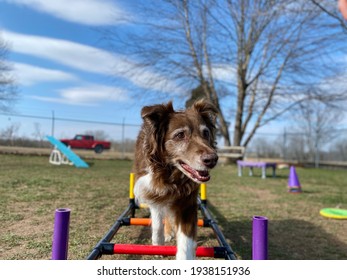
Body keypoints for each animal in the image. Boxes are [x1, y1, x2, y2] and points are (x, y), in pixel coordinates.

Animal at [133, 99, 218, 260]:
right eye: (180, 135)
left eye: (206, 133)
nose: (212, 160)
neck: (170, 173)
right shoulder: (153, 190)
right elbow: (157, 221)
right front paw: (158, 243)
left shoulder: (187, 202)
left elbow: (186, 242)